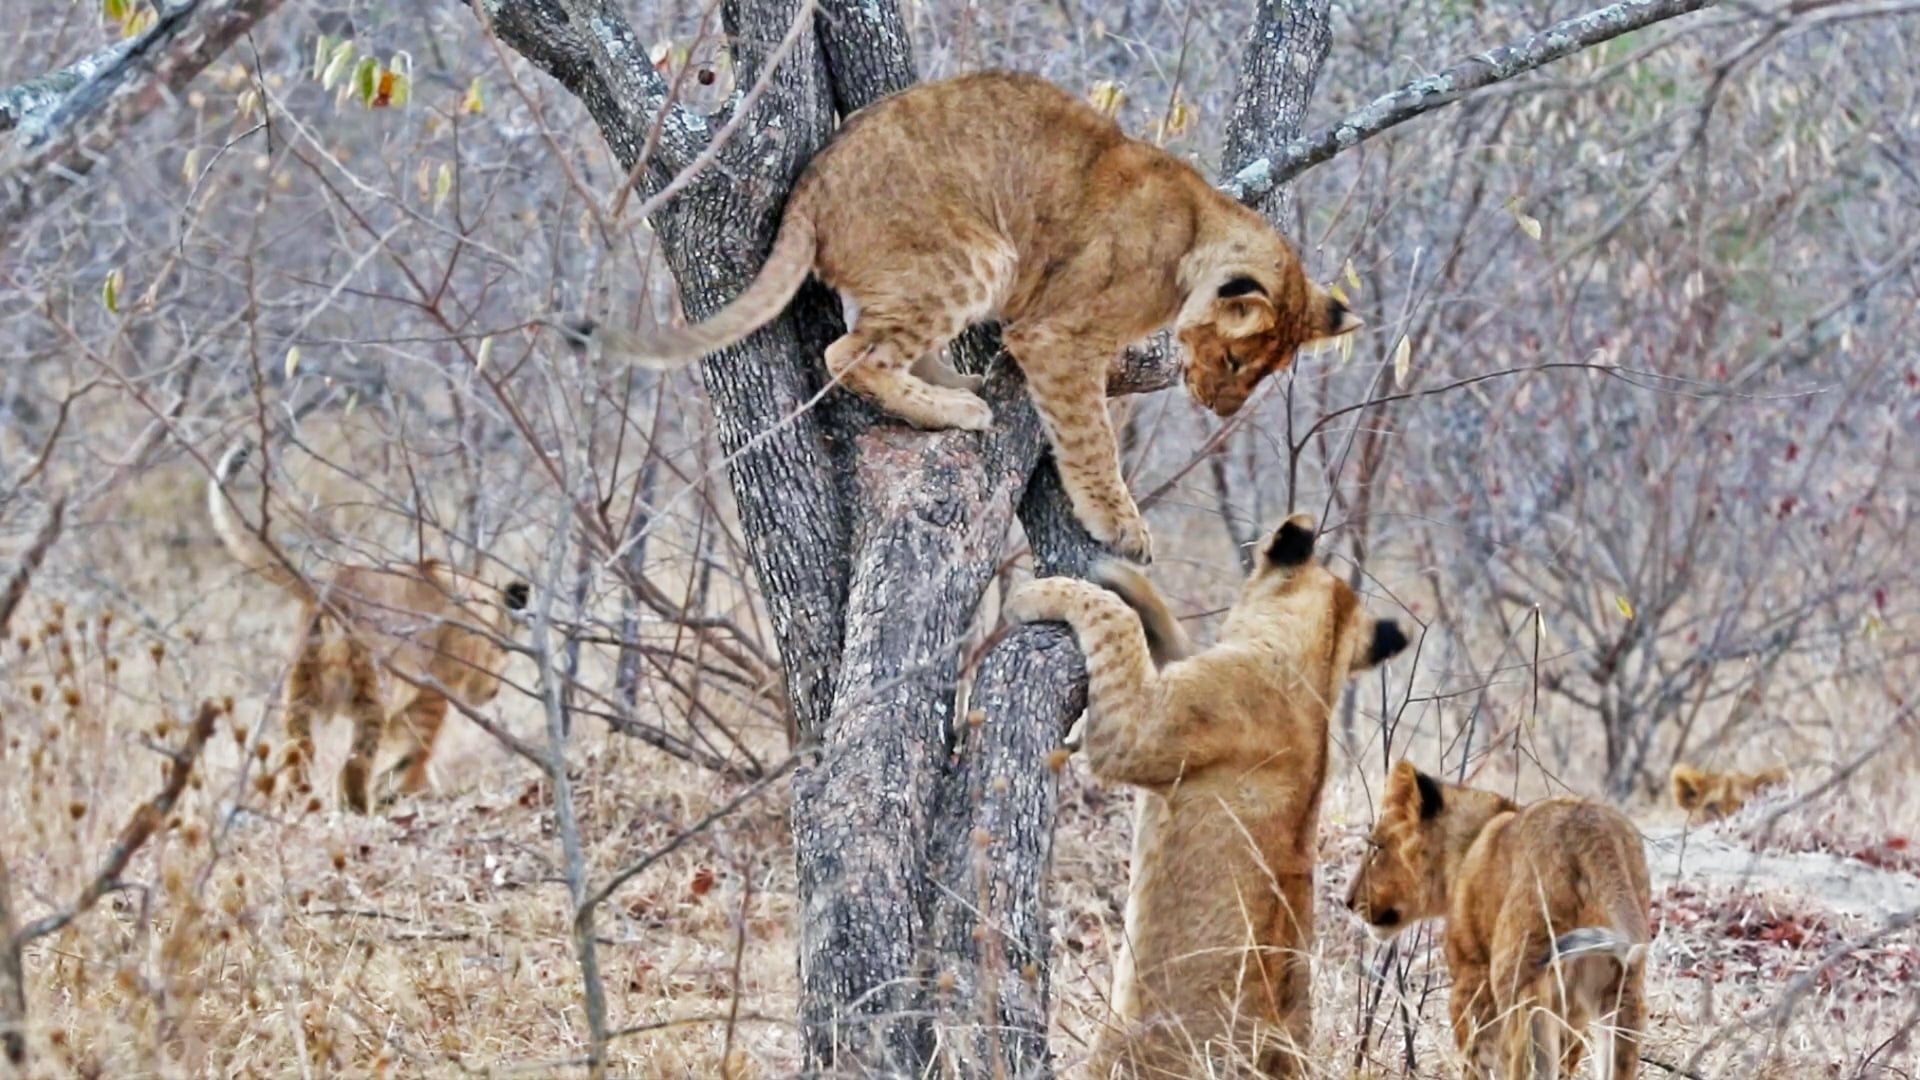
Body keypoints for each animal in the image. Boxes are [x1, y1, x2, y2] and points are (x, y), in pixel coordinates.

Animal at [207, 439, 530, 813]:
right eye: (504, 652)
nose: (493, 692)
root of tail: (333, 585)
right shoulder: (431, 694)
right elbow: (416, 752)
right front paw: (419, 793)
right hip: (375, 692)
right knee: (354, 763)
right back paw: (361, 810)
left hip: (299, 694)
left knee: (300, 755)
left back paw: (298, 806)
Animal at [564, 71, 1362, 564]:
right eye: (1232, 361)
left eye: (1256, 376)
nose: (1219, 409)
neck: (1199, 233)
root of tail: (810, 185)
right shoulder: (1056, 335)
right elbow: (1092, 440)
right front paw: (1119, 524)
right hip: (977, 254)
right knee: (848, 355)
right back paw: (959, 410)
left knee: (882, 341)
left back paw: (960, 386)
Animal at [1005, 513, 1409, 1077]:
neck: (1317, 670)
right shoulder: (1179, 672)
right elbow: (1162, 626)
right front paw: (1123, 575)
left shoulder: (1139, 730)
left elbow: (1116, 624)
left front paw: (1042, 591)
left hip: (1120, 1048)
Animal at [1345, 763, 1653, 1079]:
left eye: (1376, 847)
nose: (1349, 901)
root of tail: (1591, 833)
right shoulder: (1574, 1010)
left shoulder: (1472, 978)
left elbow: (1477, 1059)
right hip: (1622, 995)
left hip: (1520, 987)